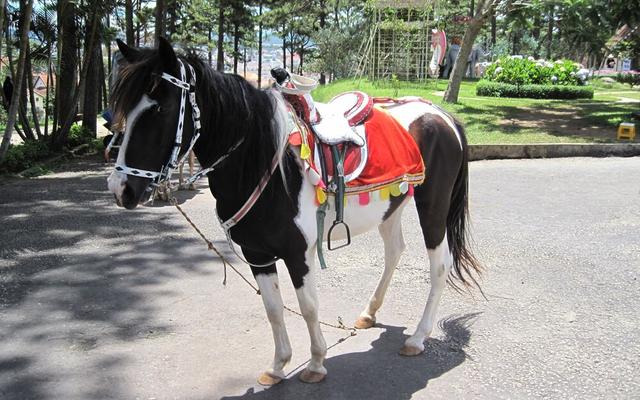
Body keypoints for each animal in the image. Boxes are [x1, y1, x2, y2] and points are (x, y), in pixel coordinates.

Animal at [106, 39, 480, 386]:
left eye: (159, 109)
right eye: (123, 107)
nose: (121, 188)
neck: (262, 160)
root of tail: (443, 114)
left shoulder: (298, 252)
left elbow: (308, 306)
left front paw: (315, 364)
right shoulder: (257, 254)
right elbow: (273, 309)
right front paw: (277, 366)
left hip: (432, 206)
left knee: (439, 264)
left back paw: (418, 337)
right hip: (393, 205)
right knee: (394, 251)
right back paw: (369, 313)